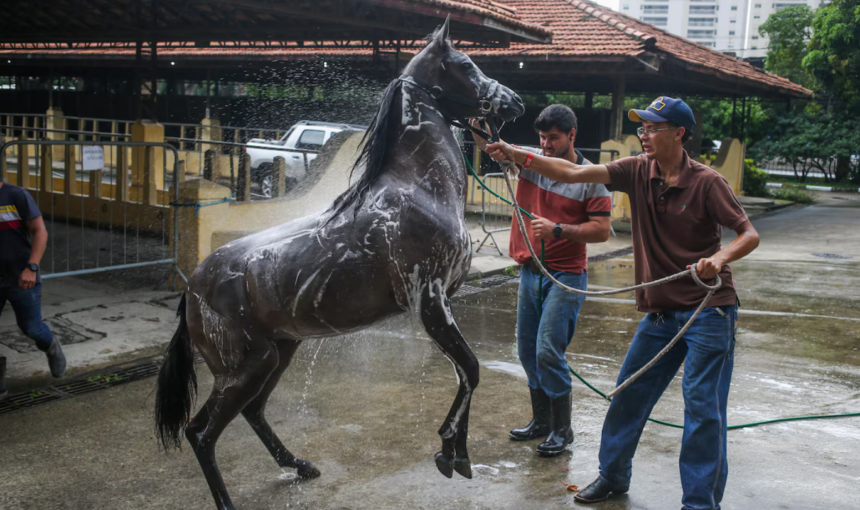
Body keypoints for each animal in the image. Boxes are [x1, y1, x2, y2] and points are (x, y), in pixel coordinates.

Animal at [158, 19, 528, 510]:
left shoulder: (444, 301)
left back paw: (300, 466)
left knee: (253, 411)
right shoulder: (430, 301)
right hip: (244, 367)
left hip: (279, 353)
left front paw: (456, 454)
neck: (420, 189)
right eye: (467, 65)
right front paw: (450, 450)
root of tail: (193, 289)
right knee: (201, 433)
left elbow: (465, 373)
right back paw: (232, 498)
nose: (516, 102)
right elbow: (470, 368)